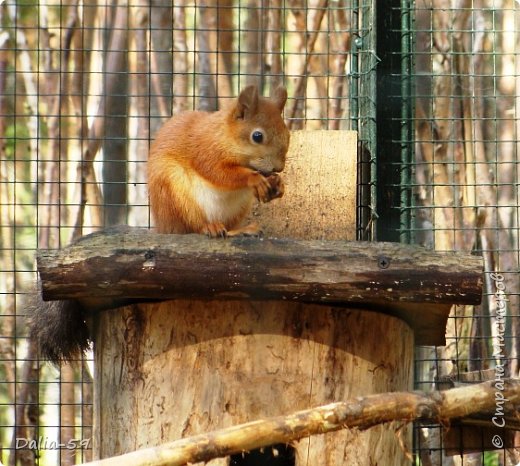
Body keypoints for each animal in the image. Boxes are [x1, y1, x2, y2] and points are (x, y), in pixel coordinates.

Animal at [148, 84, 290, 237]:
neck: (223, 135)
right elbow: (218, 172)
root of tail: (162, 227)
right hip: (177, 197)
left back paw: (243, 230)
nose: (279, 168)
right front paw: (254, 179)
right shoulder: (205, 151)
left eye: (287, 134)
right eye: (257, 136)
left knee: (228, 228)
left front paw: (277, 182)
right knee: (191, 227)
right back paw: (210, 227)